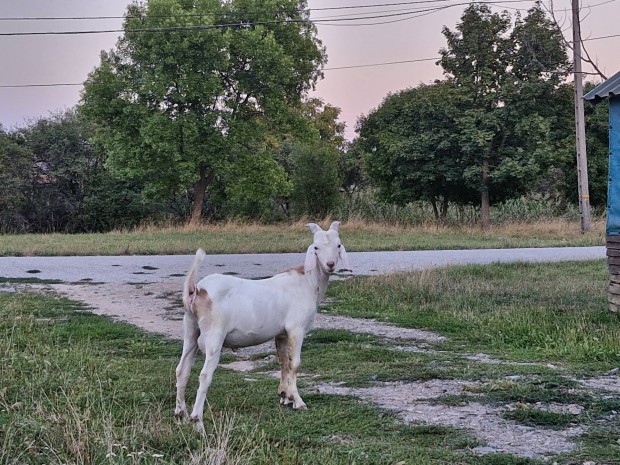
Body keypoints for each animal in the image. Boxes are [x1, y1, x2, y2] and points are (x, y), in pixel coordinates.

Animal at [174, 220, 352, 428]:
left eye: (338, 245)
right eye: (316, 248)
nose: (330, 264)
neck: (307, 282)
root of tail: (197, 291)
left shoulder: (281, 333)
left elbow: (284, 362)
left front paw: (285, 396)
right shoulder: (296, 329)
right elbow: (295, 364)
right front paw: (298, 401)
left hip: (191, 329)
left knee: (182, 370)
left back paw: (180, 414)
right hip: (214, 335)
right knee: (204, 375)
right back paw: (197, 421)